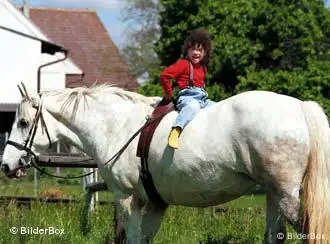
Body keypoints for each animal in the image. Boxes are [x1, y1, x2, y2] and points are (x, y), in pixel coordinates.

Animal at [0, 85, 330, 243]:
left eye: (23, 122)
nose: (6, 165)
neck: (118, 125)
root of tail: (300, 107)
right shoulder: (156, 203)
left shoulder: (127, 198)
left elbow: (132, 238)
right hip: (274, 196)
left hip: (286, 195)